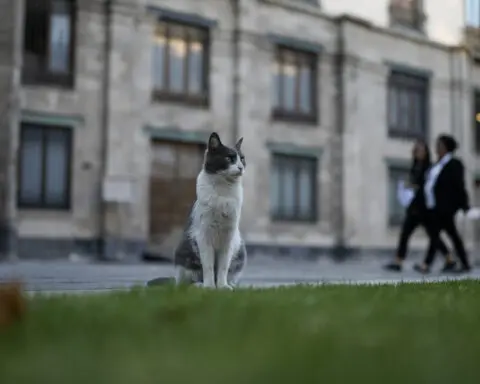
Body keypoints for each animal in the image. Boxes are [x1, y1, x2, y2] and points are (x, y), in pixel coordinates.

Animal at [173, 131, 248, 288]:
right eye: (228, 158)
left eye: (242, 158)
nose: (240, 167)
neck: (224, 191)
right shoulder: (204, 235)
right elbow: (207, 265)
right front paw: (210, 287)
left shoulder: (228, 236)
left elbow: (223, 266)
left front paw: (222, 286)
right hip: (184, 253)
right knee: (187, 281)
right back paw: (199, 285)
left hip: (240, 251)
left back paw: (231, 285)